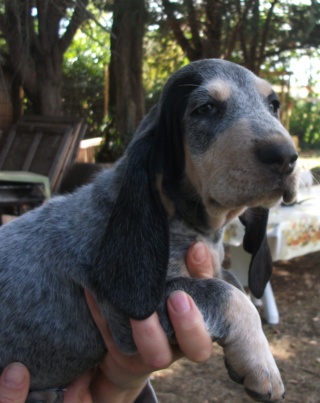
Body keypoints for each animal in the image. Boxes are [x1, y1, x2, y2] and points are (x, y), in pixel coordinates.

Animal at [0, 58, 298, 402]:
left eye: (274, 105)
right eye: (206, 108)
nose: (286, 157)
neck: (187, 224)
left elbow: (236, 286)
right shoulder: (130, 312)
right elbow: (232, 297)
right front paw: (262, 366)